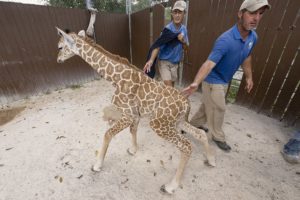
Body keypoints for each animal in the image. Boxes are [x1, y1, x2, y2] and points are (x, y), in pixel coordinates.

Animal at [55, 26, 216, 194]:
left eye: (60, 47)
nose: (58, 60)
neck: (115, 78)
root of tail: (186, 103)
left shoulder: (128, 114)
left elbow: (108, 134)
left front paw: (97, 165)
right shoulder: (135, 115)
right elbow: (133, 131)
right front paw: (133, 150)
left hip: (159, 124)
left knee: (186, 146)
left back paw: (171, 186)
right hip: (176, 122)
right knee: (200, 133)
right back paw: (211, 160)